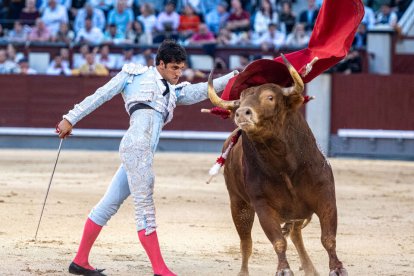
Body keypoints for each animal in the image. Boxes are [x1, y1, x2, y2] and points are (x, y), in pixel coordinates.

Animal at [206, 54, 346, 276]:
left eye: (270, 97)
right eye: (239, 102)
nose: (242, 113)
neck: (284, 165)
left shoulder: (326, 196)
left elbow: (328, 238)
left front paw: (337, 268)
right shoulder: (263, 205)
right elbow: (278, 241)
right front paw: (284, 269)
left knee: (296, 235)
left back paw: (310, 269)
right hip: (239, 204)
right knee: (246, 243)